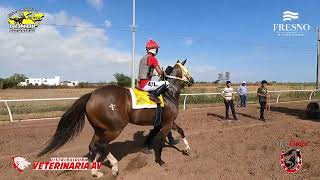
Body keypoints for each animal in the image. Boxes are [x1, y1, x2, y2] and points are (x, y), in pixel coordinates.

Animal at [37, 59, 192, 177]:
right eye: (187, 69)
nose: (192, 80)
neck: (168, 94)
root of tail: (92, 95)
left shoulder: (168, 122)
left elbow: (181, 131)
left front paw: (187, 149)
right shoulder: (167, 123)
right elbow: (160, 140)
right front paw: (160, 160)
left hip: (99, 129)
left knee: (93, 146)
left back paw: (95, 172)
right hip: (115, 128)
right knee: (102, 145)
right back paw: (115, 166)